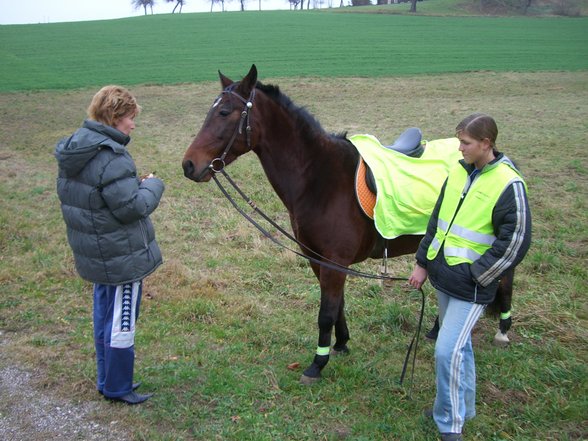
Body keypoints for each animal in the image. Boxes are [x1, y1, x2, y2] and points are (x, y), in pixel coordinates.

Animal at [181, 63, 512, 384]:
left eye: (225, 112)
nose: (189, 165)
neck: (320, 177)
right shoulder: (317, 258)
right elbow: (335, 304)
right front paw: (340, 343)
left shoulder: (334, 261)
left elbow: (325, 311)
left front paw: (318, 363)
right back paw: (435, 329)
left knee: (503, 278)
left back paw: (503, 329)